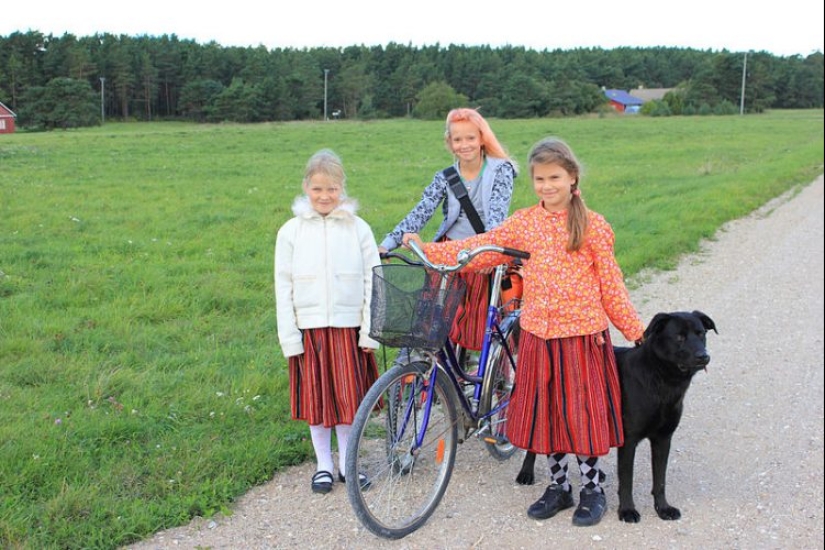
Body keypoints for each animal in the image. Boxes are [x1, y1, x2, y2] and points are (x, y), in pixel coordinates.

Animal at [516, 312, 716, 524]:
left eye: (701, 334)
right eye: (679, 337)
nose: (704, 356)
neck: (661, 379)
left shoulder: (663, 438)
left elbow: (660, 481)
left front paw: (663, 508)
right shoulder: (628, 440)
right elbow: (627, 480)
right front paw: (627, 511)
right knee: (534, 442)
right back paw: (526, 472)